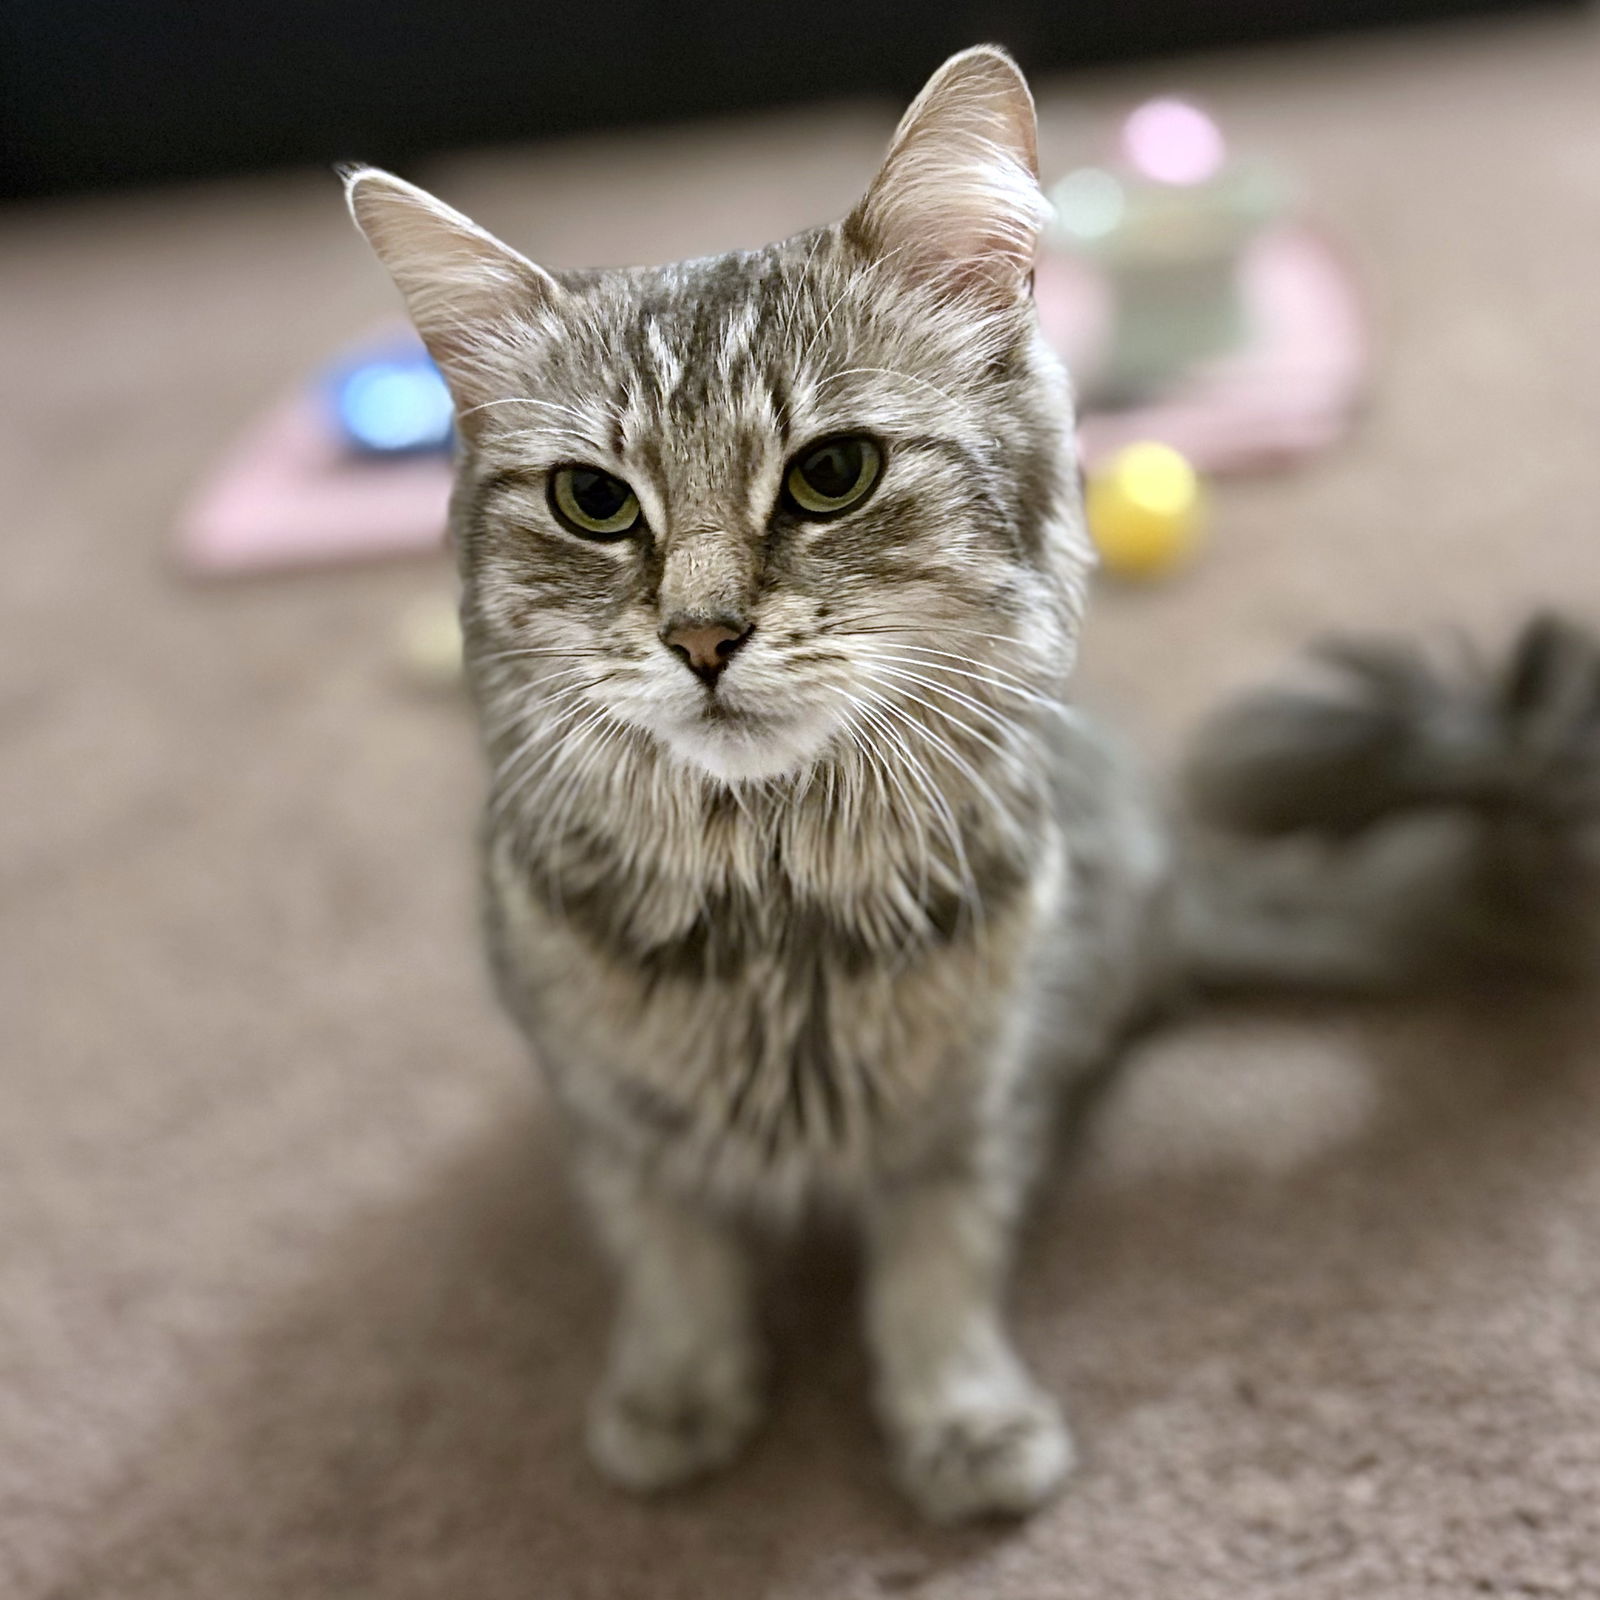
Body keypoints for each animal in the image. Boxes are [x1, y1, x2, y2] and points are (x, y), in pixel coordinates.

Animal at [347, 46, 1600, 1523]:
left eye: (831, 475)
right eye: (594, 504)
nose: (702, 637)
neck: (777, 916)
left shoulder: (976, 1109)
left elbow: (932, 1274)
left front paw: (960, 1420)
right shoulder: (611, 1119)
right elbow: (674, 1257)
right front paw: (677, 1392)